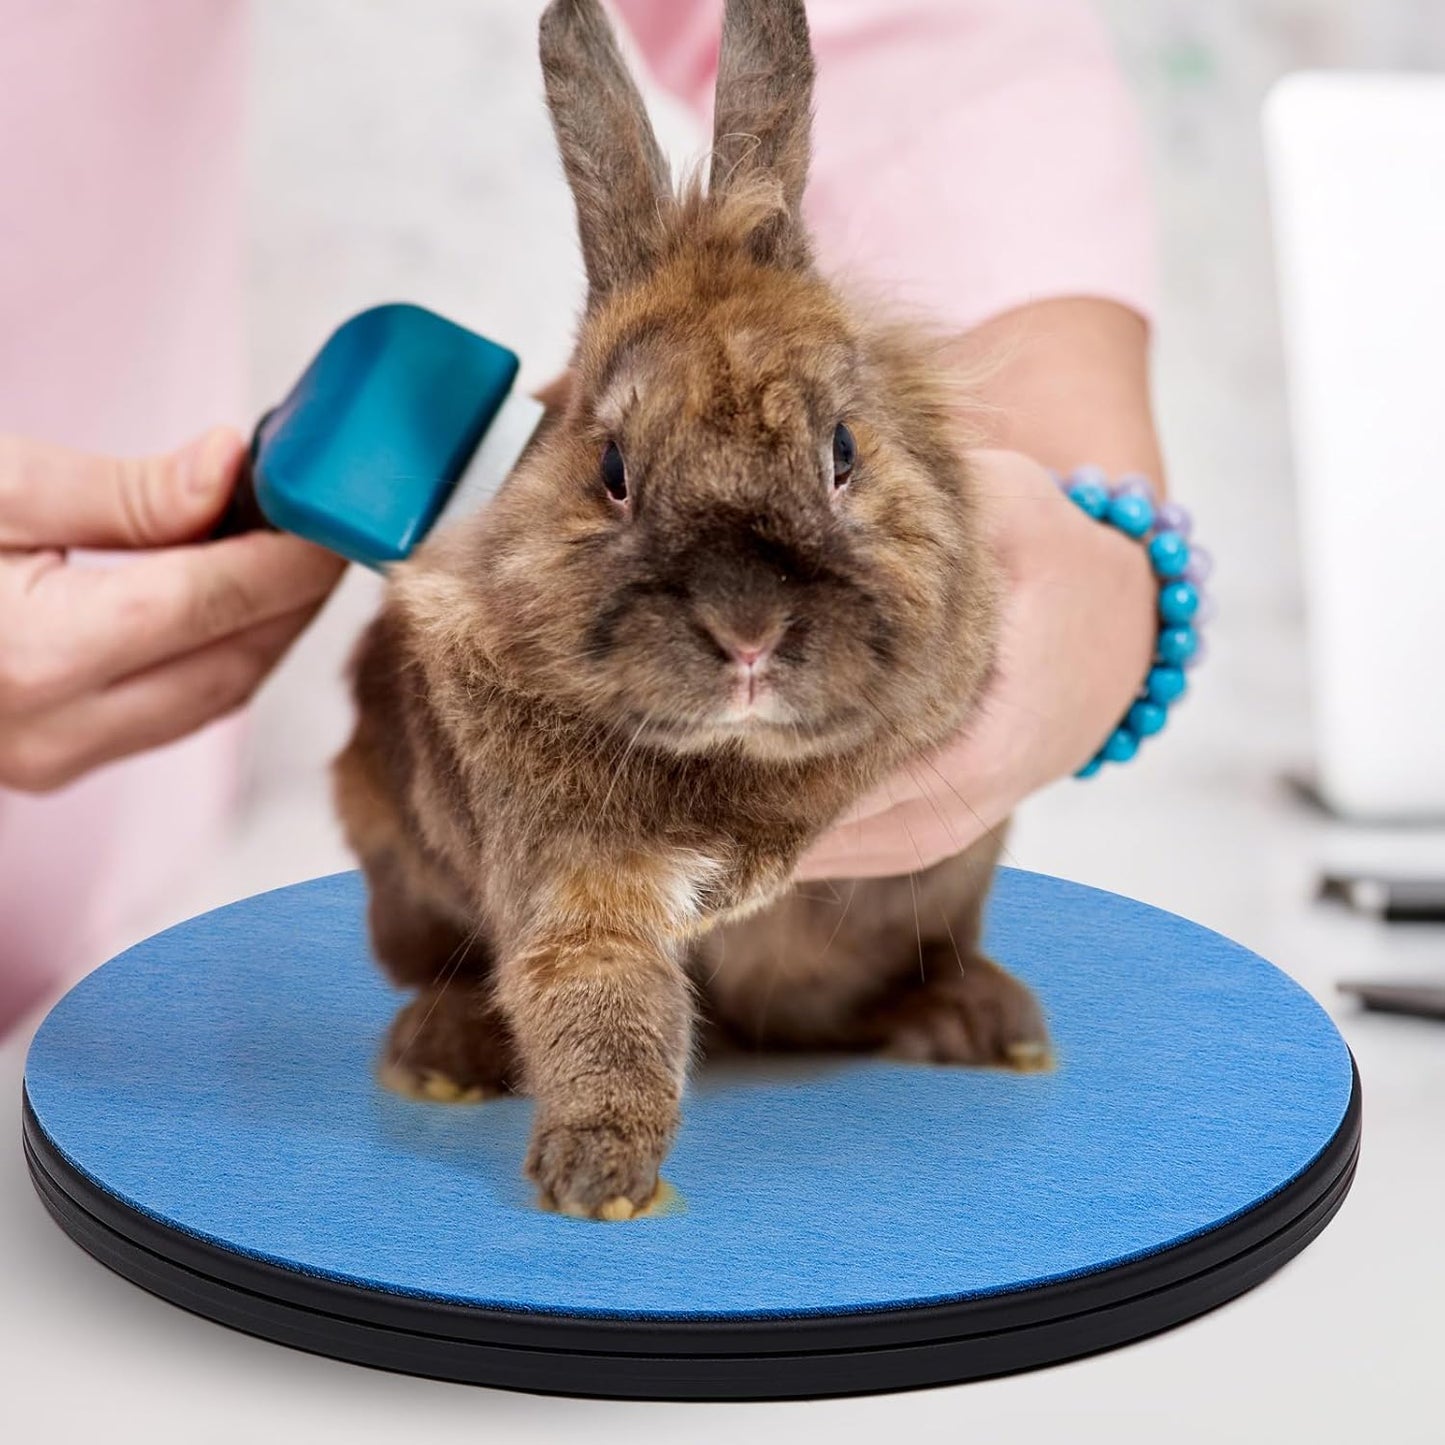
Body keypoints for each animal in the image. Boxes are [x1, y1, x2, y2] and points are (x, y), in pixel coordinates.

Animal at [333, 0, 1050, 1222]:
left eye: (842, 451)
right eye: (612, 469)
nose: (747, 629)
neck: (732, 758)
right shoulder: (575, 885)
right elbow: (597, 1003)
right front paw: (600, 1176)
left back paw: (985, 1024)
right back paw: (440, 1054)